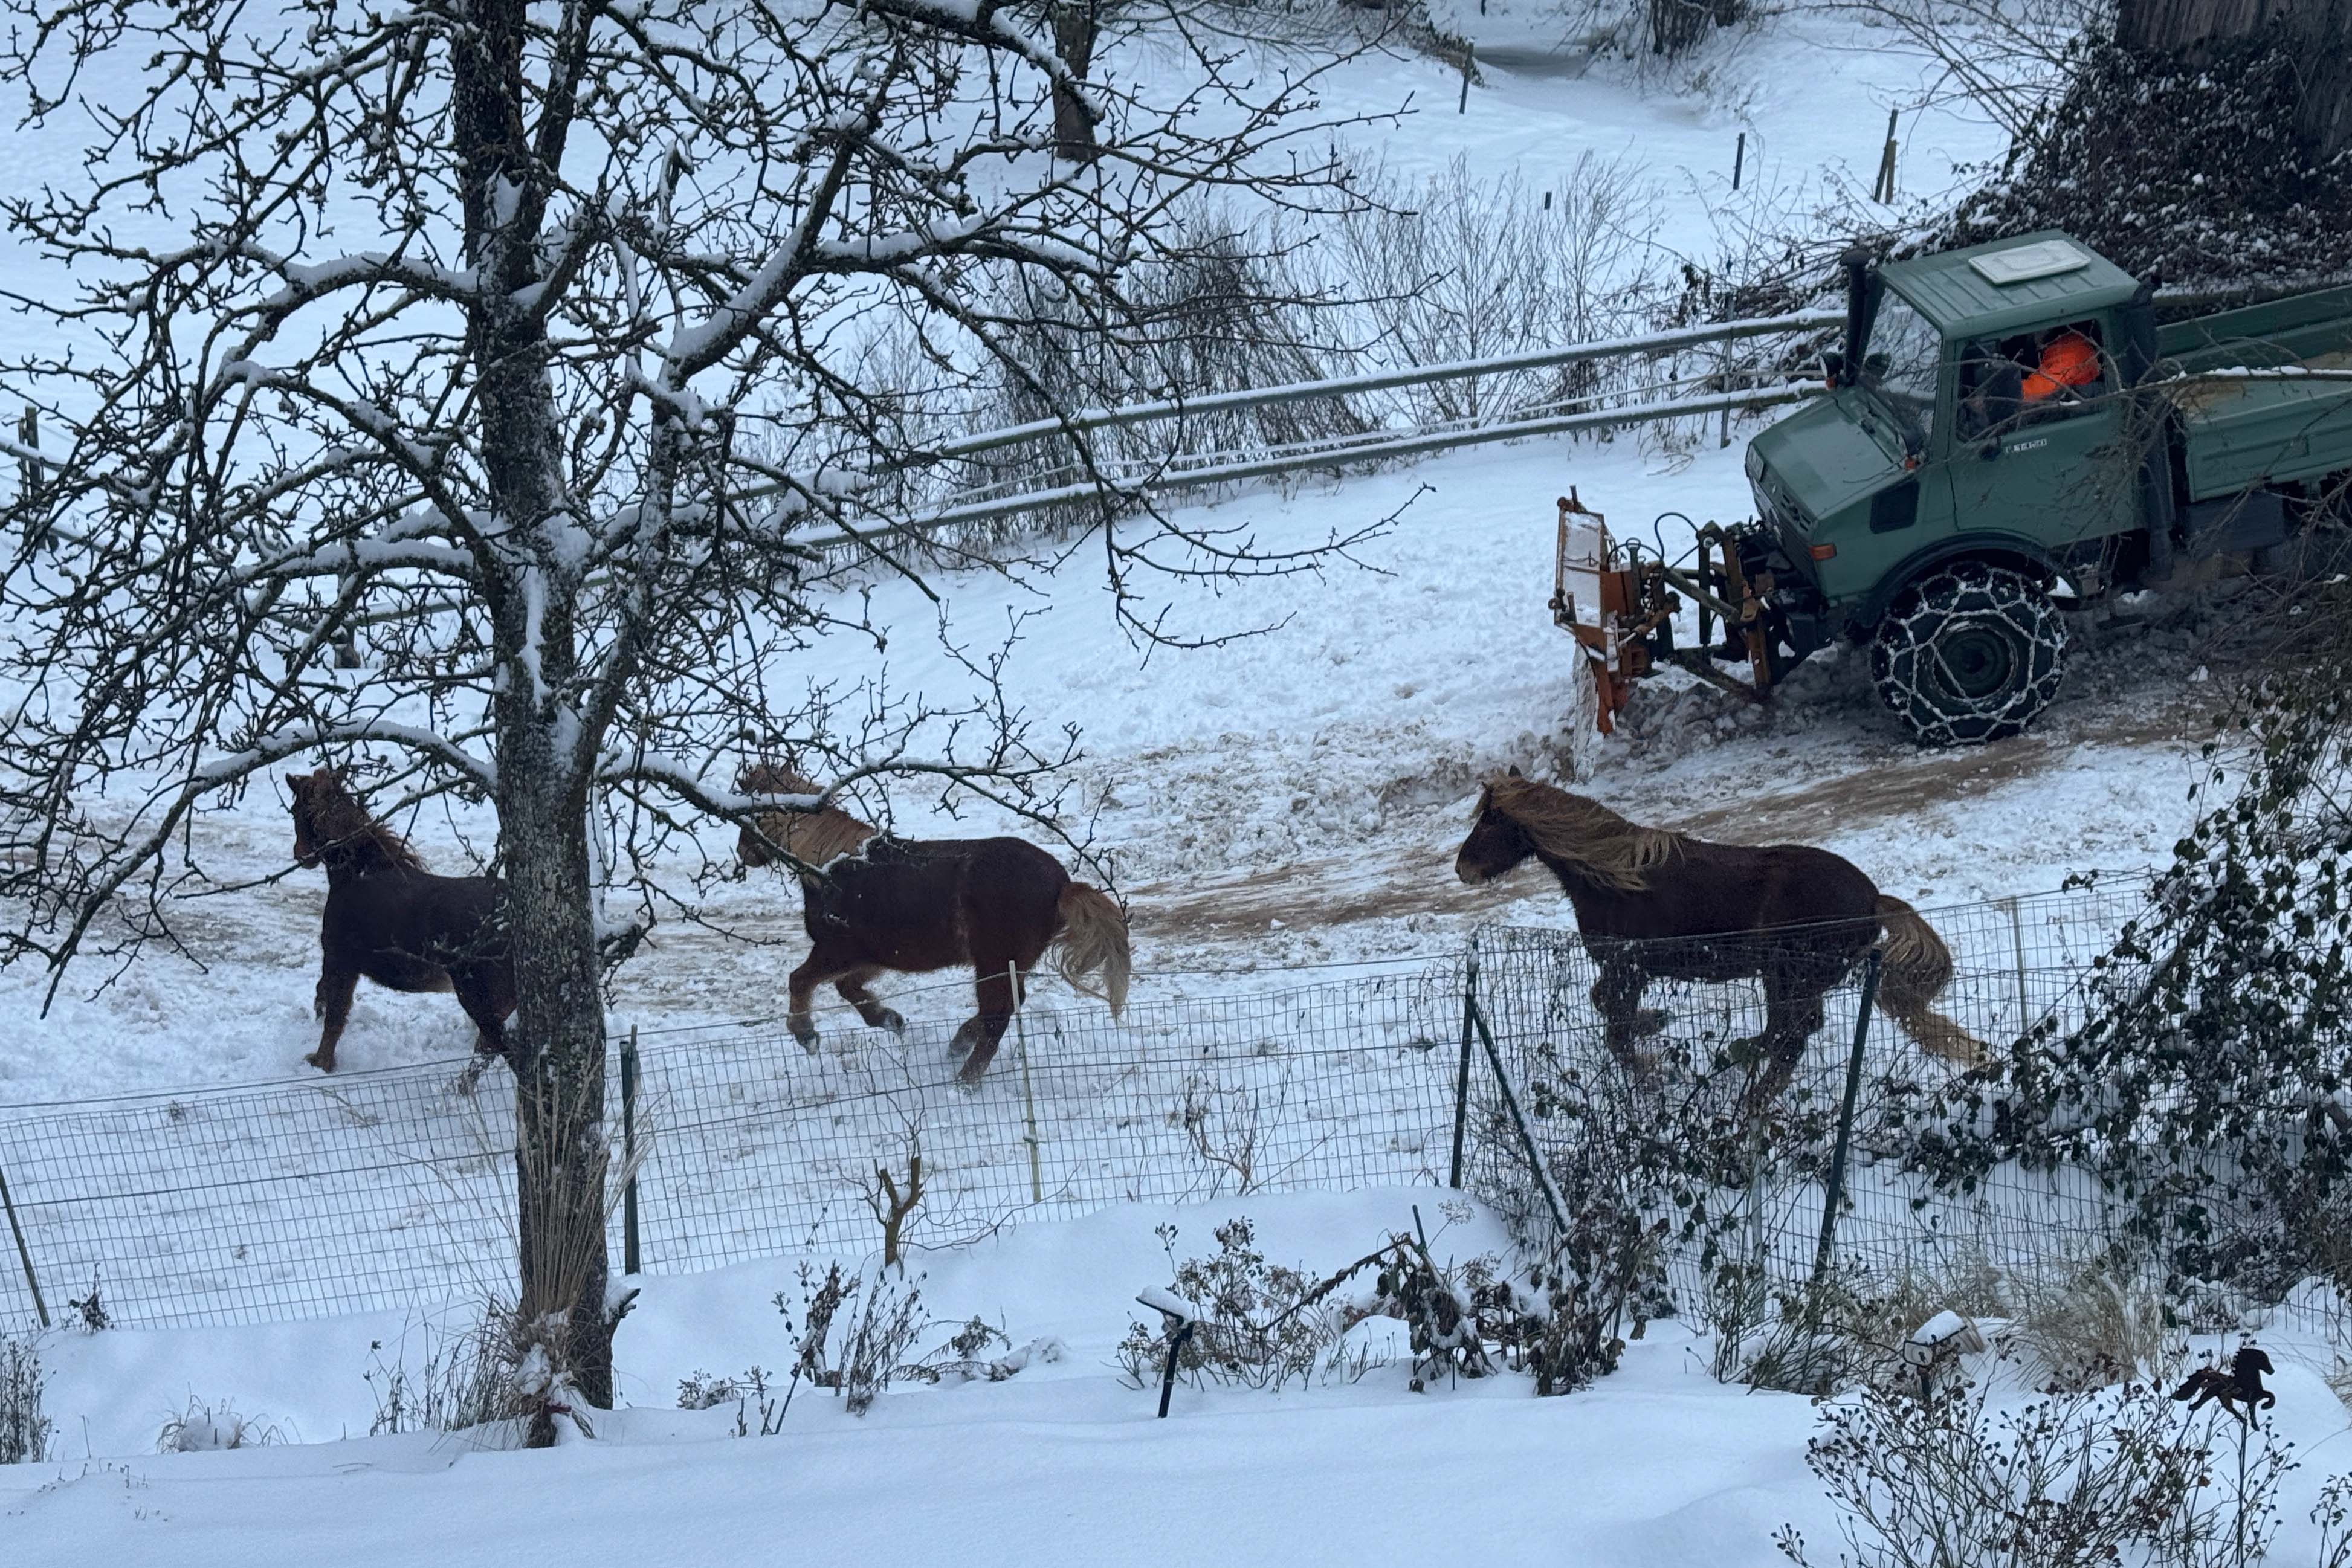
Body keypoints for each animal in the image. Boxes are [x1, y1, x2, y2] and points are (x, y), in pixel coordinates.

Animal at [286, 767, 515, 1075]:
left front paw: (321, 1063)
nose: (301, 855)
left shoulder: (340, 960)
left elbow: (334, 1016)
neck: (358, 873)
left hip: (479, 999)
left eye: (300, 811)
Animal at [736, 764, 1133, 1085]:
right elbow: (848, 989)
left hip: (993, 963)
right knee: (1007, 1006)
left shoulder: (838, 951)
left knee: (998, 1017)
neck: (832, 869)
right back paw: (958, 1046)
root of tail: (1062, 885)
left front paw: (806, 1035)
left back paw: (964, 1083)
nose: (743, 854)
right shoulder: (870, 957)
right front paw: (890, 1019)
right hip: (1009, 964)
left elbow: (801, 980)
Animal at [1451, 769, 1980, 1100]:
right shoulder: (1628, 971)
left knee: (1790, 1038)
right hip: (1786, 980)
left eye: (1489, 821)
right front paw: (1656, 1025)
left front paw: (1652, 1069)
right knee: (1789, 1033)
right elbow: (1608, 1011)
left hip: (1788, 977)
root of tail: (1873, 900)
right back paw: (1741, 1061)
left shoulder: (1628, 967)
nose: (1462, 870)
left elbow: (1615, 1029)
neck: (1614, 875)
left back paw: (1749, 1102)